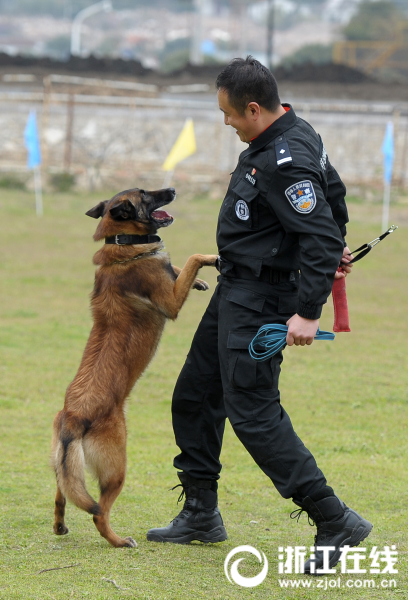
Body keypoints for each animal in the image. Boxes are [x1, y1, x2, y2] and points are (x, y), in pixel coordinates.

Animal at [50, 188, 217, 548]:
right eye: (145, 194)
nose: (172, 189)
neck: (123, 246)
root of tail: (73, 416)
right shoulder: (170, 302)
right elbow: (191, 259)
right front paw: (210, 260)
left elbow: (179, 268)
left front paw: (196, 280)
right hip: (117, 468)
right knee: (98, 512)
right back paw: (119, 541)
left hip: (64, 462)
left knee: (62, 492)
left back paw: (59, 525)